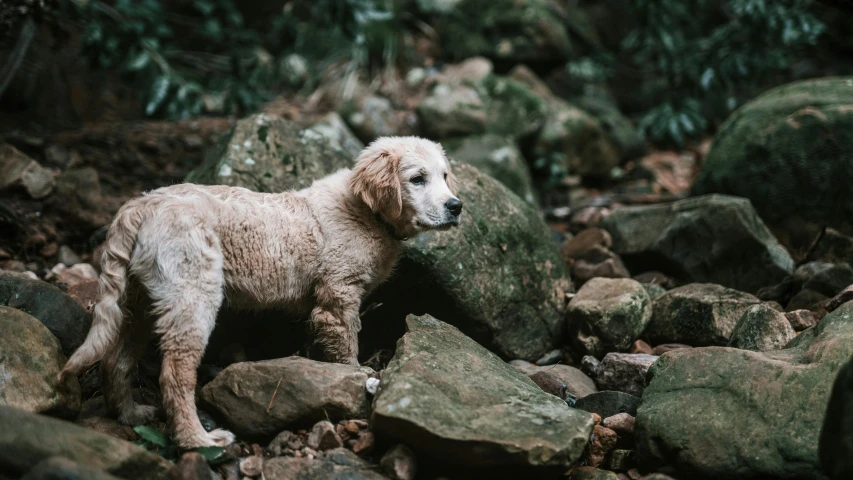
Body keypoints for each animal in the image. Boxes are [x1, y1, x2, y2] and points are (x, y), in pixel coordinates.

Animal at [57, 136, 462, 450]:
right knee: (175, 373)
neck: (367, 211)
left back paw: (129, 414)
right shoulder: (339, 294)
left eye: (444, 176)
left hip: (139, 300)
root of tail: (139, 206)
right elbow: (347, 350)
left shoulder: (324, 304)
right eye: (417, 179)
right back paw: (198, 440)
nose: (456, 207)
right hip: (193, 294)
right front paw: (357, 381)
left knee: (115, 359)